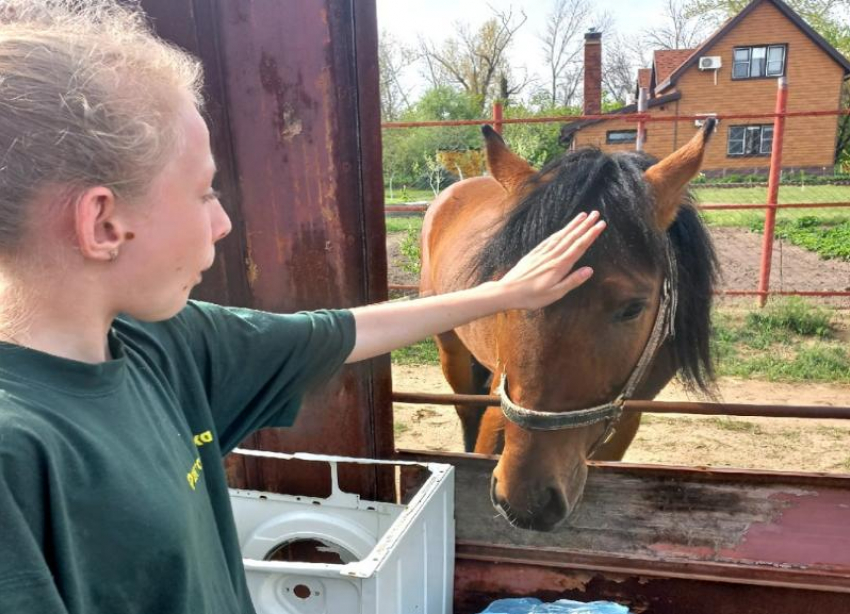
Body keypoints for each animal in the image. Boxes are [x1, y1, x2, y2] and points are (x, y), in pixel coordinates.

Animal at [418, 121, 716, 536]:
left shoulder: (627, 419)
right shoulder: (500, 404)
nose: (527, 500)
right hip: (452, 353)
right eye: (508, 285)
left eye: (633, 308)